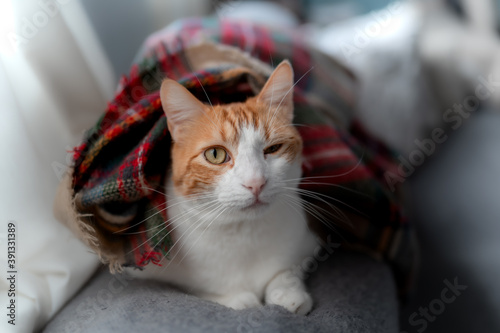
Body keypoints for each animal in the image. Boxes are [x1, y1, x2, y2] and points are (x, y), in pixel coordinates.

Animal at [129, 60, 316, 314]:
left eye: (273, 148)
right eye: (215, 154)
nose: (255, 182)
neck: (244, 233)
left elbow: (287, 270)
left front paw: (287, 294)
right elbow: (205, 290)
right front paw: (239, 299)